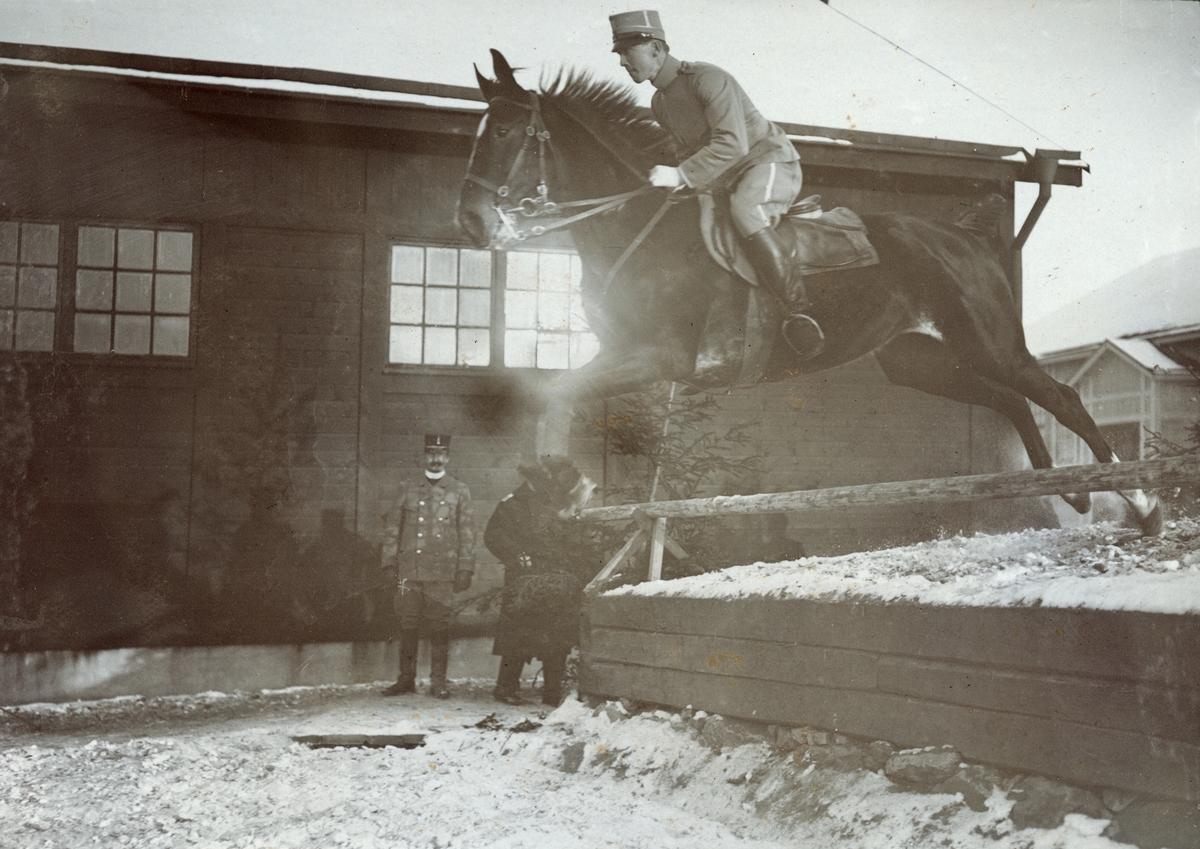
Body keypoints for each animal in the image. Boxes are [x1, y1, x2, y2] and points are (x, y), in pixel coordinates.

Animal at [456, 50, 1160, 535]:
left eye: (506, 133)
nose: (471, 224)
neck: (636, 226)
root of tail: (969, 242)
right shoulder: (625, 358)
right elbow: (554, 397)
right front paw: (556, 488)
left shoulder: (656, 357)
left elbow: (555, 393)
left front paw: (556, 489)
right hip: (919, 359)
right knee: (1008, 400)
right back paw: (1070, 490)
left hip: (987, 342)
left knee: (1060, 395)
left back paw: (1139, 500)